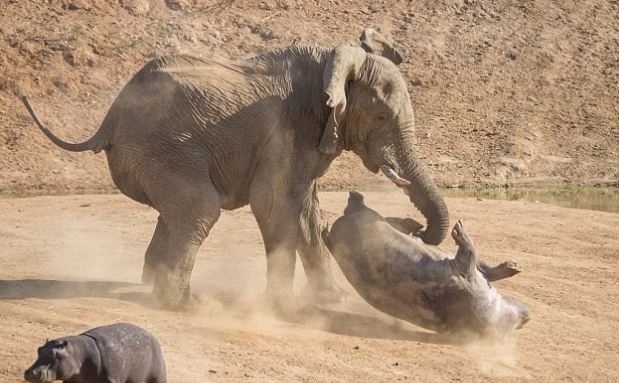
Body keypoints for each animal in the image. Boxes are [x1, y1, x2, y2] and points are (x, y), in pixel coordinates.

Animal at [20, 27, 450, 308]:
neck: (334, 60)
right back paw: (181, 305)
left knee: (176, 213)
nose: (418, 230)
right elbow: (273, 203)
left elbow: (305, 210)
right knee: (200, 209)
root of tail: (108, 119)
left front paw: (332, 300)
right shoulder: (286, 128)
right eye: (381, 117)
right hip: (162, 147)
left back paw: (155, 286)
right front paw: (280, 308)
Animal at [24, 324, 166, 383]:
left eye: (55, 354)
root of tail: (153, 336)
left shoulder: (112, 379)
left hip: (158, 376)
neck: (78, 353)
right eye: (39, 349)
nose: (30, 372)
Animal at [322, 190, 532, 338]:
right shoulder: (465, 273)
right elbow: (475, 258)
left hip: (363, 220)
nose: (528, 315)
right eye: (518, 322)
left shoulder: (465, 274)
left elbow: (477, 261)